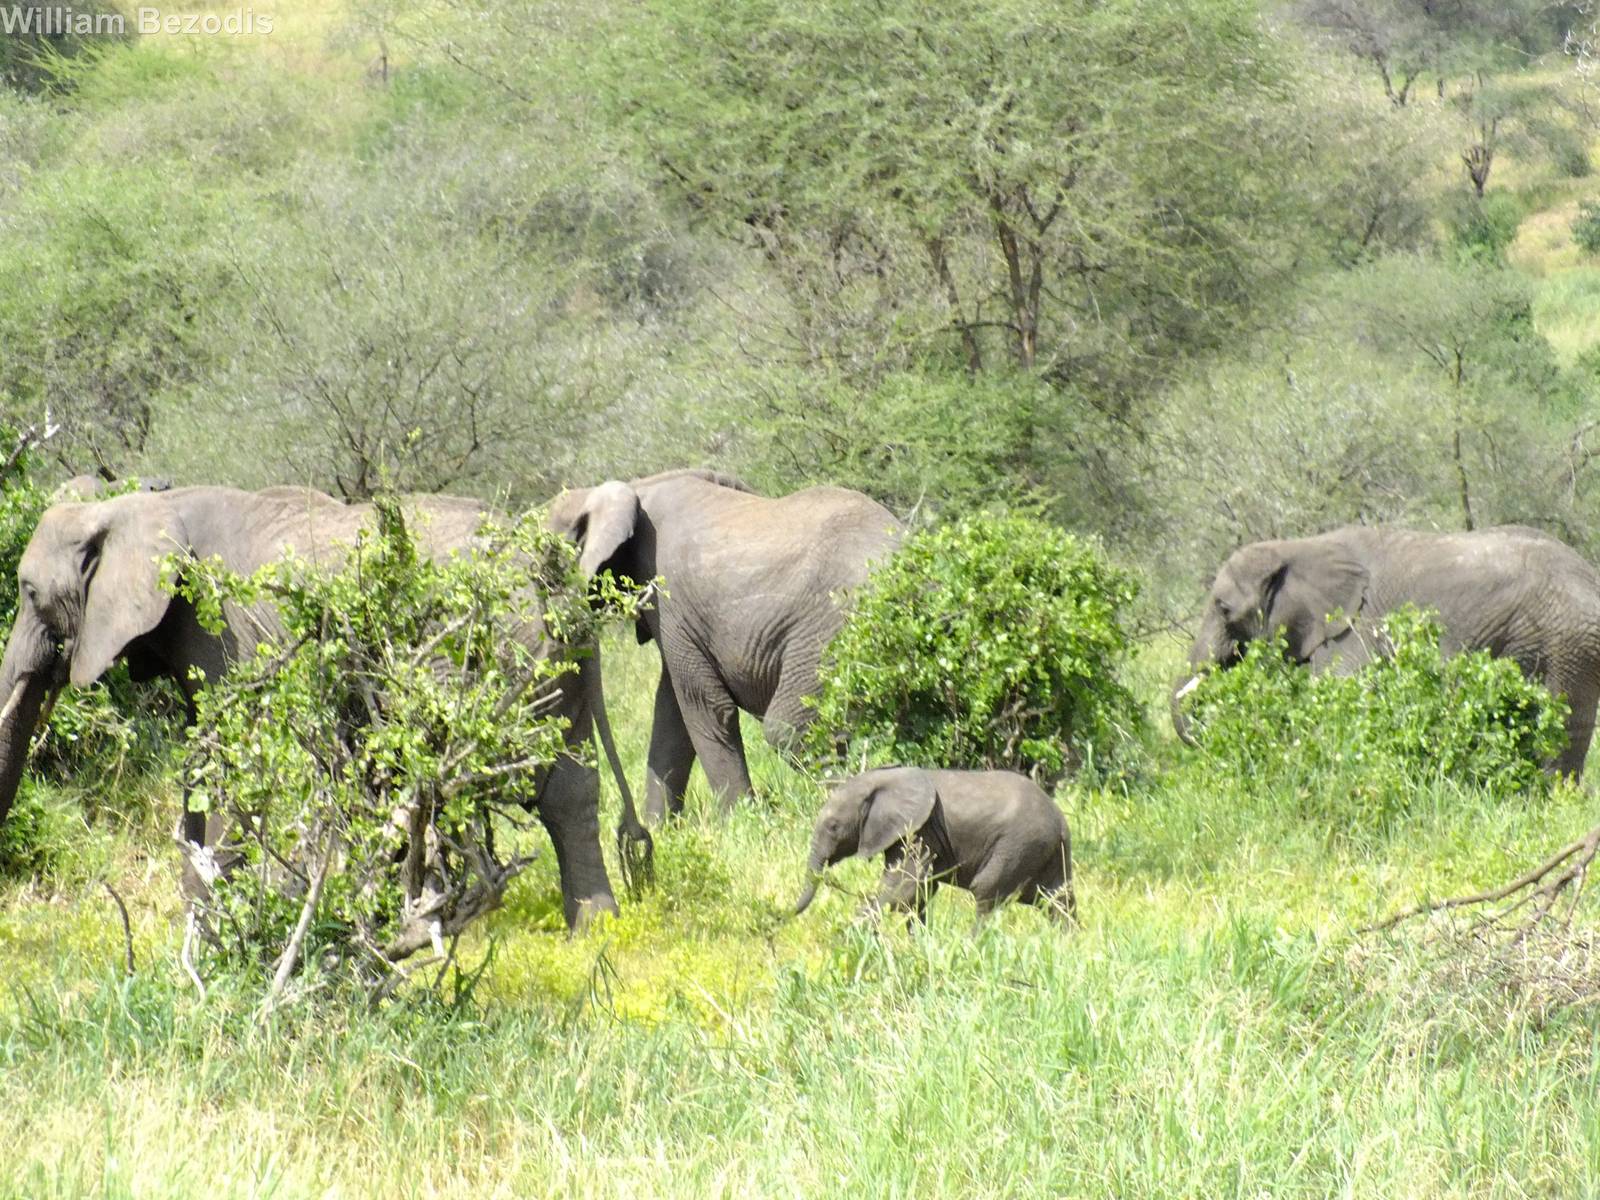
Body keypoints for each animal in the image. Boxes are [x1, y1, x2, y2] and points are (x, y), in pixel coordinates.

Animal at [0, 484, 646, 930]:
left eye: (29, 592)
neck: (130, 506)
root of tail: (557, 566)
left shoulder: (224, 633)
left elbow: (236, 764)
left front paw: (211, 924)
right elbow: (203, 762)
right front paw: (199, 918)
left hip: (483, 655)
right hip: (563, 656)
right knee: (571, 791)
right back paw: (595, 931)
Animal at [548, 469, 903, 822]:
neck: (631, 489)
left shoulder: (668, 599)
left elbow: (704, 706)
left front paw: (741, 821)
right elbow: (672, 714)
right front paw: (662, 829)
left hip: (833, 627)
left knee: (788, 730)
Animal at [792, 766, 1074, 925]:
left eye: (833, 827)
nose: (785, 913)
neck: (882, 779)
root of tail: (1060, 819)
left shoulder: (920, 830)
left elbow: (905, 888)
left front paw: (850, 935)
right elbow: (919, 893)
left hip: (1019, 844)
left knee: (986, 891)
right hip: (1047, 851)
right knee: (1058, 901)